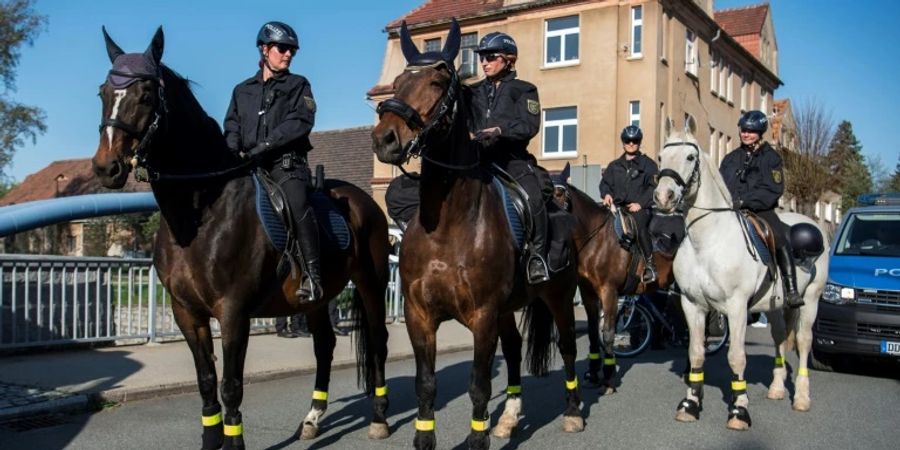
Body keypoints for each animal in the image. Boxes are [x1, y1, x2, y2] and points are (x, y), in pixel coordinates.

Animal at [92, 27, 394, 446]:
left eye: (147, 94)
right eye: (104, 91)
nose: (107, 167)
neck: (200, 214)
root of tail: (364, 200)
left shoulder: (233, 313)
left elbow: (231, 385)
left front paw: (233, 442)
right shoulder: (187, 313)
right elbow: (206, 381)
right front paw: (211, 440)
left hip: (370, 283)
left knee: (378, 342)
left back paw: (379, 418)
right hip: (317, 300)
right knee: (325, 346)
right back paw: (313, 418)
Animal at [372, 21, 584, 450]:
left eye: (437, 81)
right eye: (398, 81)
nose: (385, 139)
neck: (447, 227)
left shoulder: (482, 315)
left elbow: (479, 385)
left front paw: (477, 438)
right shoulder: (421, 316)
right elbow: (426, 385)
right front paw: (425, 440)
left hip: (557, 297)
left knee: (568, 347)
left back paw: (572, 412)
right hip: (507, 309)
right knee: (516, 351)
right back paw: (508, 419)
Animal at [548, 181, 676, 392]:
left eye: (554, 197)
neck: (595, 241)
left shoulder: (609, 292)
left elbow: (608, 332)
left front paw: (608, 378)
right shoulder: (588, 293)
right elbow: (593, 332)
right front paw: (593, 373)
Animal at [652, 130, 828, 428]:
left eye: (690, 157)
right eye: (661, 157)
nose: (664, 196)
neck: (707, 241)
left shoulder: (736, 308)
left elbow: (736, 358)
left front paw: (739, 409)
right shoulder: (692, 305)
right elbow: (696, 353)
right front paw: (690, 404)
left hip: (811, 300)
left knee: (803, 342)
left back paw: (802, 398)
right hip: (777, 306)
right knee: (780, 338)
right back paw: (777, 388)